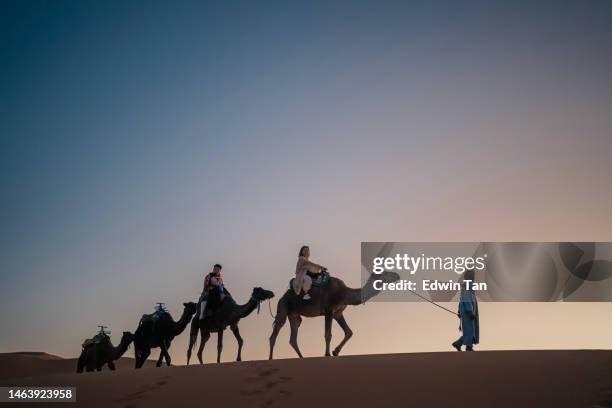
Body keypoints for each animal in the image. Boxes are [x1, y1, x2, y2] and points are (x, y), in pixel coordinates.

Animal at [268, 272, 396, 358]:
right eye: (387, 273)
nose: (397, 275)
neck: (345, 293)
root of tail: (282, 296)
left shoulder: (338, 313)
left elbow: (349, 332)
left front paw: (335, 352)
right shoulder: (329, 311)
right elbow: (328, 335)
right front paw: (327, 354)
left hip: (294, 315)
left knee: (293, 338)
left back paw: (302, 358)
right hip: (283, 307)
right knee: (275, 333)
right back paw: (270, 358)